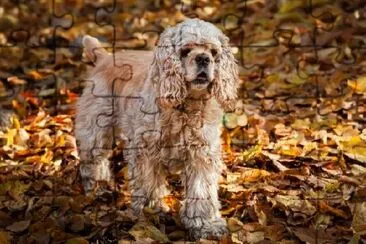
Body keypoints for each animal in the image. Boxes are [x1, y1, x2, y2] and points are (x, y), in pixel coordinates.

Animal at [76, 18, 239, 240]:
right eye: (186, 51)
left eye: (213, 52)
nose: (204, 59)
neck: (186, 107)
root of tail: (105, 58)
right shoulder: (145, 151)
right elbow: (149, 184)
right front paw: (151, 212)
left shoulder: (201, 155)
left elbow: (201, 190)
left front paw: (206, 225)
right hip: (96, 129)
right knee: (92, 161)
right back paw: (96, 189)